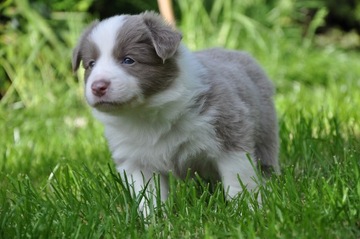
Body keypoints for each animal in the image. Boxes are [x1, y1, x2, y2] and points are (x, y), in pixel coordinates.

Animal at [73, 11, 280, 213]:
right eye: (91, 64)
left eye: (128, 60)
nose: (98, 87)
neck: (147, 114)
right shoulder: (136, 160)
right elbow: (147, 194)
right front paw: (153, 219)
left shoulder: (229, 135)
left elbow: (238, 179)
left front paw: (247, 210)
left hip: (265, 129)